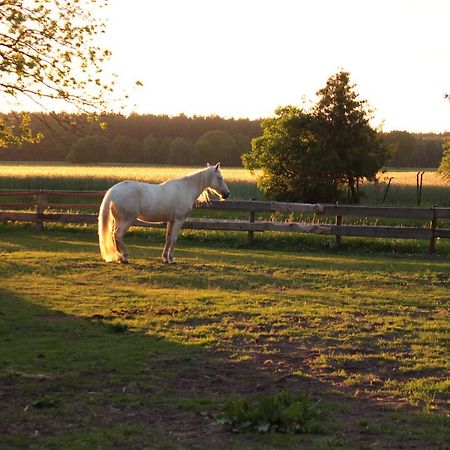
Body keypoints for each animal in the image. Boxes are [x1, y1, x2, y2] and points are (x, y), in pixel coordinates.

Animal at [97, 163, 229, 264]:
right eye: (219, 177)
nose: (227, 194)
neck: (185, 189)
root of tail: (113, 191)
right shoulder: (179, 220)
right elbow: (174, 239)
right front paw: (171, 259)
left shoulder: (171, 221)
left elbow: (168, 238)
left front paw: (165, 258)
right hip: (126, 221)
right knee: (118, 235)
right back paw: (124, 257)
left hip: (119, 220)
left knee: (114, 236)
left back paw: (119, 257)